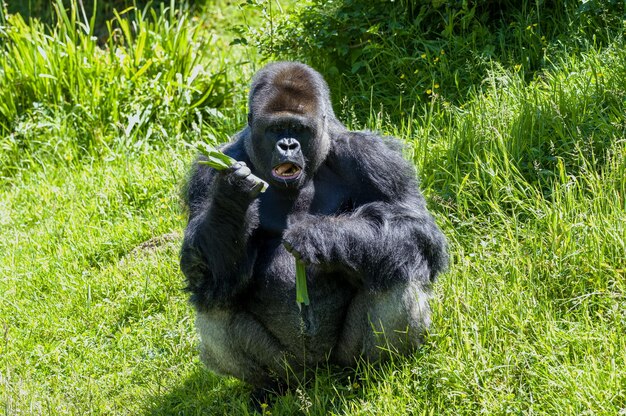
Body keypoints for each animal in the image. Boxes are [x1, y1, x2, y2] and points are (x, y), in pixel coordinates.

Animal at [178, 61, 446, 394]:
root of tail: (317, 375)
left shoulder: (374, 156)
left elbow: (414, 227)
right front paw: (231, 196)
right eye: (276, 129)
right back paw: (268, 389)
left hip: (340, 359)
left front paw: (318, 236)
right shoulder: (208, 170)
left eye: (298, 130)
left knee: (396, 265)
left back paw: (374, 372)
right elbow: (202, 266)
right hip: (290, 368)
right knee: (215, 299)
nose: (287, 145)